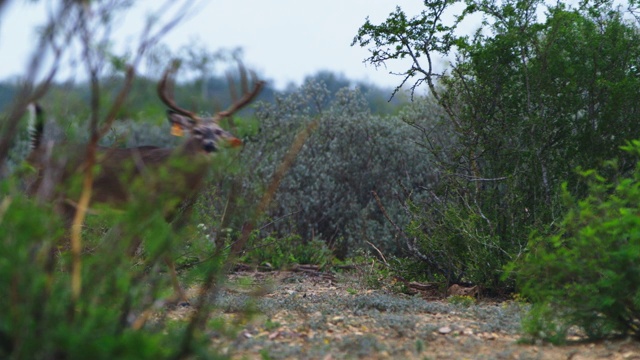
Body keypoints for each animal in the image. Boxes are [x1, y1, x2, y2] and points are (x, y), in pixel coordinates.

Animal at [25, 63, 264, 306]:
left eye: (218, 131)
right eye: (196, 131)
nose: (210, 145)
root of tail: (35, 151)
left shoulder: (169, 211)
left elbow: (152, 248)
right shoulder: (145, 205)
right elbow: (139, 250)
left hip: (68, 204)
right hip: (40, 193)